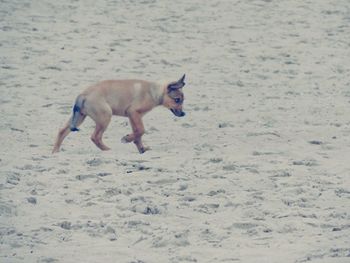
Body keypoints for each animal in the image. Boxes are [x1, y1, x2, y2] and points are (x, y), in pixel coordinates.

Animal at [52, 74, 186, 154]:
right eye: (177, 100)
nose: (183, 114)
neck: (153, 91)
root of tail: (83, 95)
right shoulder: (133, 112)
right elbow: (141, 130)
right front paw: (127, 139)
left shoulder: (134, 117)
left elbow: (138, 133)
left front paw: (141, 148)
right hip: (105, 117)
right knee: (95, 137)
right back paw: (107, 150)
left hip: (80, 117)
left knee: (62, 131)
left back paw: (55, 152)